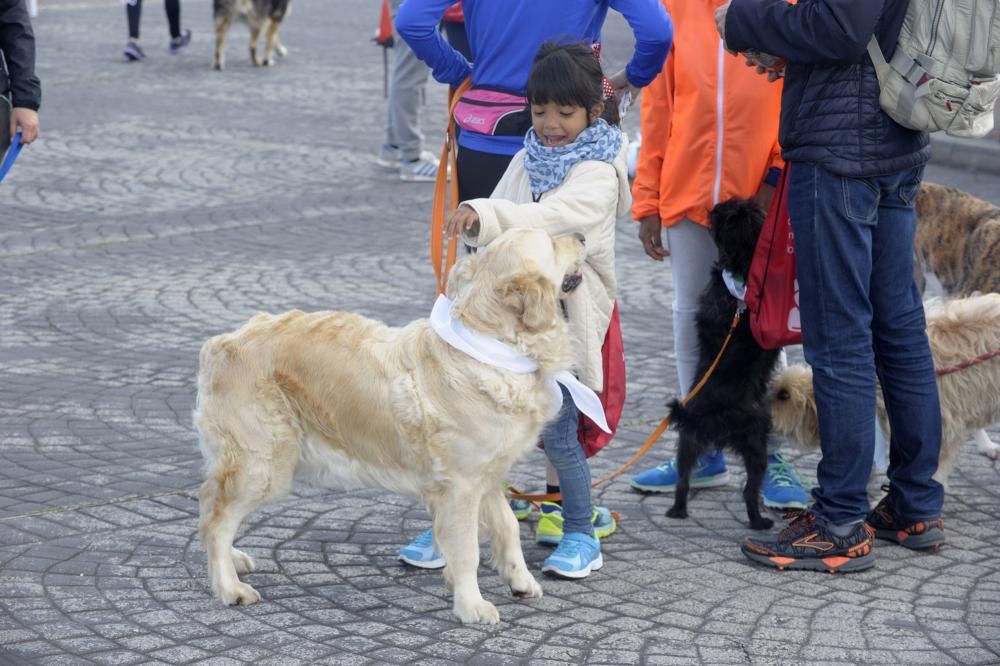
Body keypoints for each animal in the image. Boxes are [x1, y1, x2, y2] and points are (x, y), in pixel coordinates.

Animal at [193, 228, 584, 624]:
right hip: (265, 462)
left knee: (213, 510)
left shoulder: (488, 476)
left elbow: (508, 527)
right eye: (552, 241)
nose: (582, 236)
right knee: (215, 516)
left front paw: (520, 581)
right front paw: (471, 605)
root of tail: (221, 342)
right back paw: (230, 587)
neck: (494, 345)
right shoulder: (461, 485)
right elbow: (467, 550)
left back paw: (232, 561)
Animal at [668, 198, 784, 528]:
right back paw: (759, 522)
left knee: (683, 480)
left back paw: (678, 510)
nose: (719, 205)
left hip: (688, 441)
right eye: (741, 211)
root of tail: (712, 420)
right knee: (749, 491)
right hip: (756, 443)